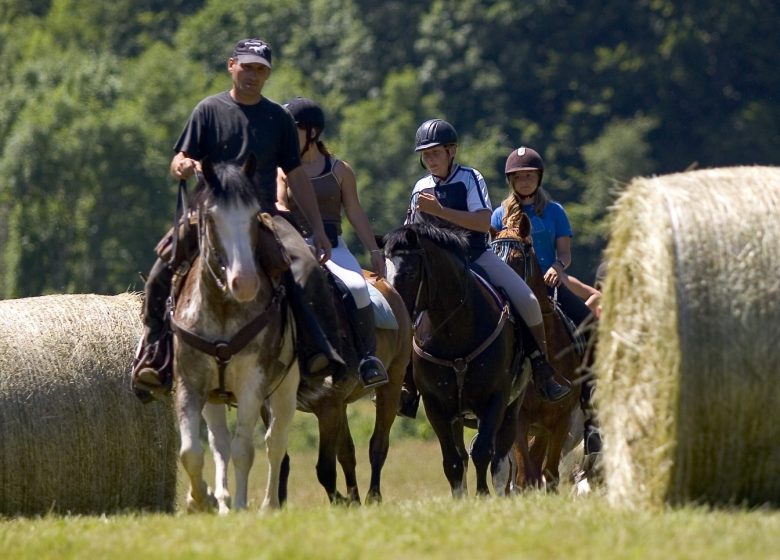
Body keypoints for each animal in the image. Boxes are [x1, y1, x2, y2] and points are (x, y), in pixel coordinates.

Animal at [169, 156, 298, 512]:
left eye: (254, 215)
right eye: (211, 216)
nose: (245, 283)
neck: (223, 307)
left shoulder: (253, 382)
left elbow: (245, 450)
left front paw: (240, 505)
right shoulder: (190, 383)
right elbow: (191, 451)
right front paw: (201, 499)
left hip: (287, 388)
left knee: (275, 442)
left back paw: (267, 504)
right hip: (214, 396)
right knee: (219, 442)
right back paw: (223, 499)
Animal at [382, 222, 524, 494]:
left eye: (409, 273)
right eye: (385, 273)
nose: (396, 314)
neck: (455, 329)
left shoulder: (496, 398)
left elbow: (483, 453)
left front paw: (484, 496)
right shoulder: (436, 406)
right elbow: (453, 463)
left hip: (512, 407)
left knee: (501, 462)